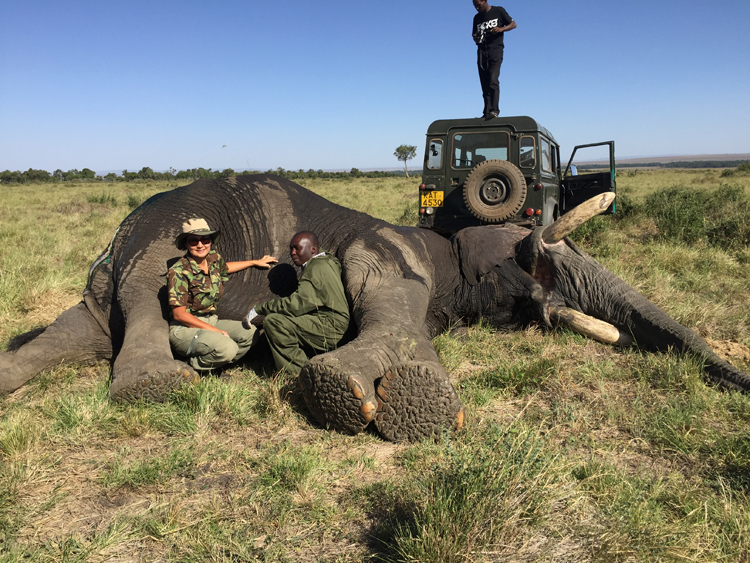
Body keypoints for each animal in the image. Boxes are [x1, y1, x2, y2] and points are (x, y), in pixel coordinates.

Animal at [1, 174, 750, 442]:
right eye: (530, 249)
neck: (445, 240)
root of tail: (117, 236)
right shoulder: (390, 248)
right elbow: (386, 299)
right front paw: (395, 400)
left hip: (103, 283)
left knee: (77, 328)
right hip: (161, 240)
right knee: (148, 299)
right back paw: (154, 389)